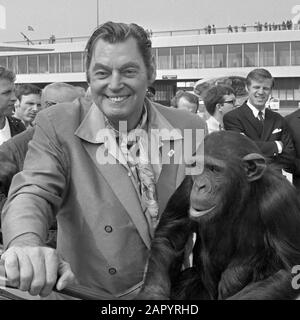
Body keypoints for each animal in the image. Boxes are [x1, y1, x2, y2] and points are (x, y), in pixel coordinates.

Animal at [139, 131, 300, 300]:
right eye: (197, 167)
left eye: (214, 169)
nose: (200, 186)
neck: (239, 193)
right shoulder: (188, 184)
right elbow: (170, 236)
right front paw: (152, 294)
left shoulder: (280, 199)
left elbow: (289, 270)